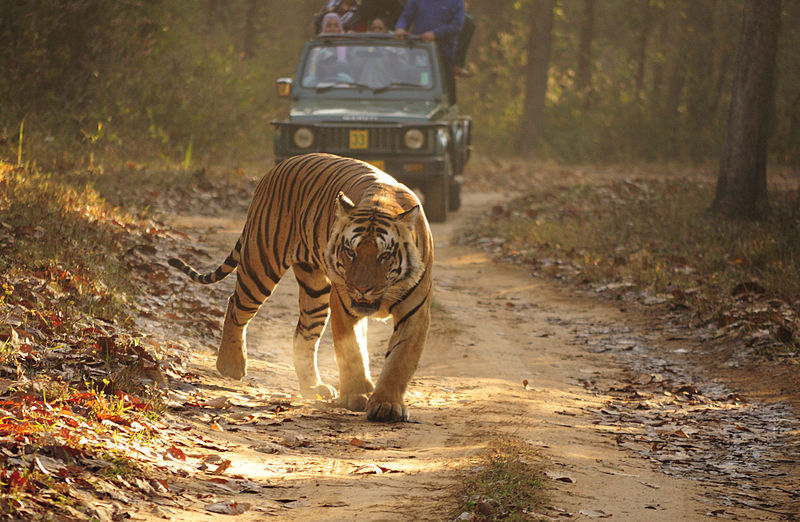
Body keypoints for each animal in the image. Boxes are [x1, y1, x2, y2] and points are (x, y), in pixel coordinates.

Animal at [166, 152, 434, 420]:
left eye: (384, 256)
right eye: (350, 252)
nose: (361, 289)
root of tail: (278, 167)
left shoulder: (415, 312)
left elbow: (399, 360)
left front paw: (386, 405)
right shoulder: (344, 304)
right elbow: (352, 352)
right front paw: (357, 395)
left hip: (314, 290)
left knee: (303, 334)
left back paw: (313, 387)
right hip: (261, 263)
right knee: (236, 305)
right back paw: (231, 365)